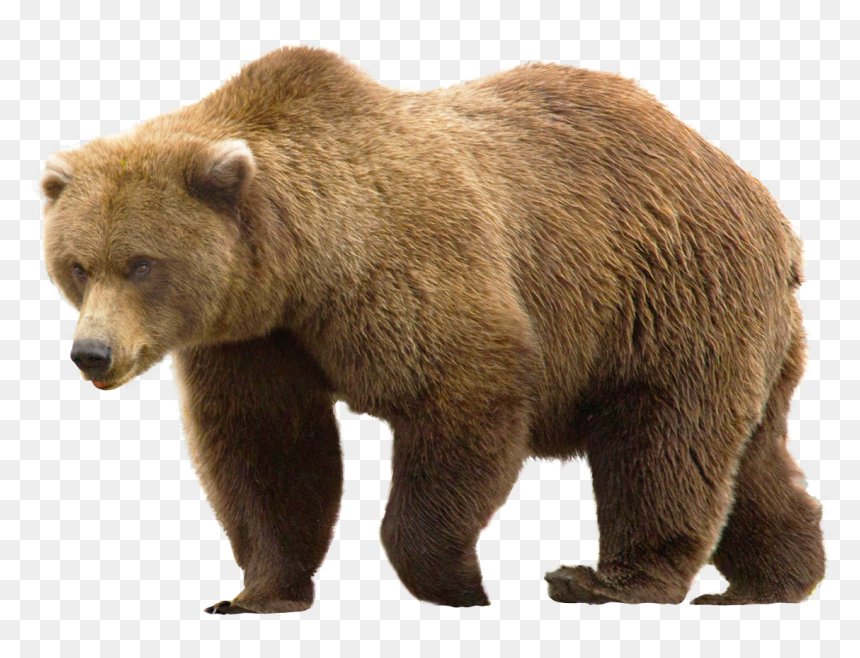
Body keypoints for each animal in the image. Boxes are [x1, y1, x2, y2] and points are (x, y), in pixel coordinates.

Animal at [41, 46, 825, 613]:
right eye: (77, 265)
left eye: (142, 263)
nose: (91, 353)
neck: (301, 268)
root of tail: (764, 205)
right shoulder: (255, 339)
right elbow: (267, 448)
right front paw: (256, 593)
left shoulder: (408, 270)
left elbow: (465, 393)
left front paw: (459, 584)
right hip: (745, 331)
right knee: (752, 458)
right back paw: (770, 581)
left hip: (667, 298)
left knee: (664, 442)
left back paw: (609, 581)